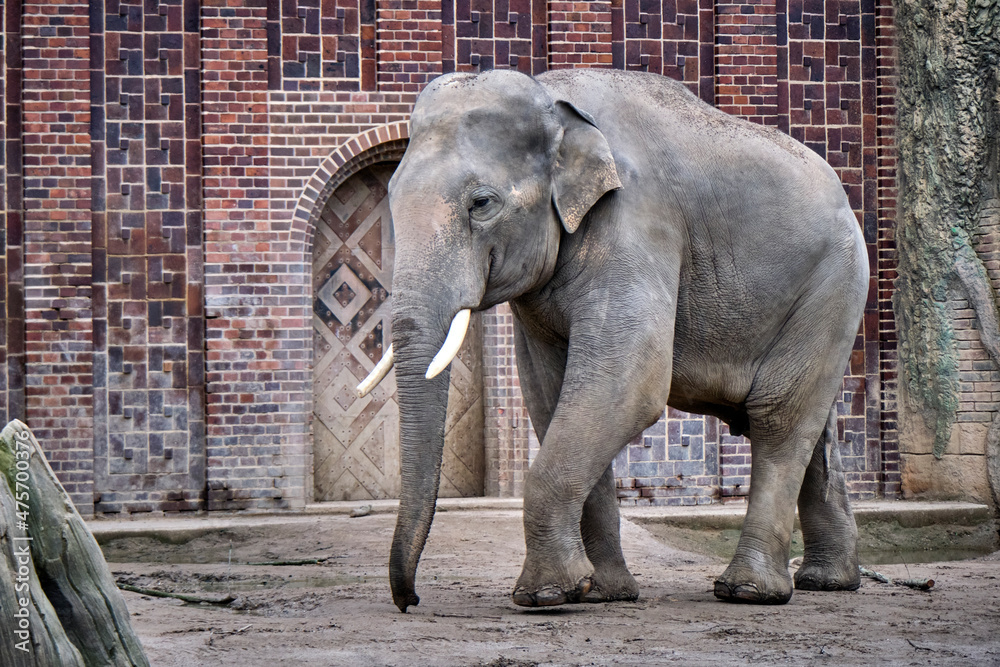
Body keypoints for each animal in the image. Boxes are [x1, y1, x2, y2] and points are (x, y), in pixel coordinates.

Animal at [356, 68, 868, 612]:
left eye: (481, 204)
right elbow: (552, 394)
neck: (555, 102)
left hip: (834, 284)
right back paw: (828, 581)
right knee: (812, 427)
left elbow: (627, 383)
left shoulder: (636, 222)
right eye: (391, 196)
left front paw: (544, 595)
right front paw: (602, 593)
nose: (409, 600)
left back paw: (747, 591)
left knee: (779, 418)